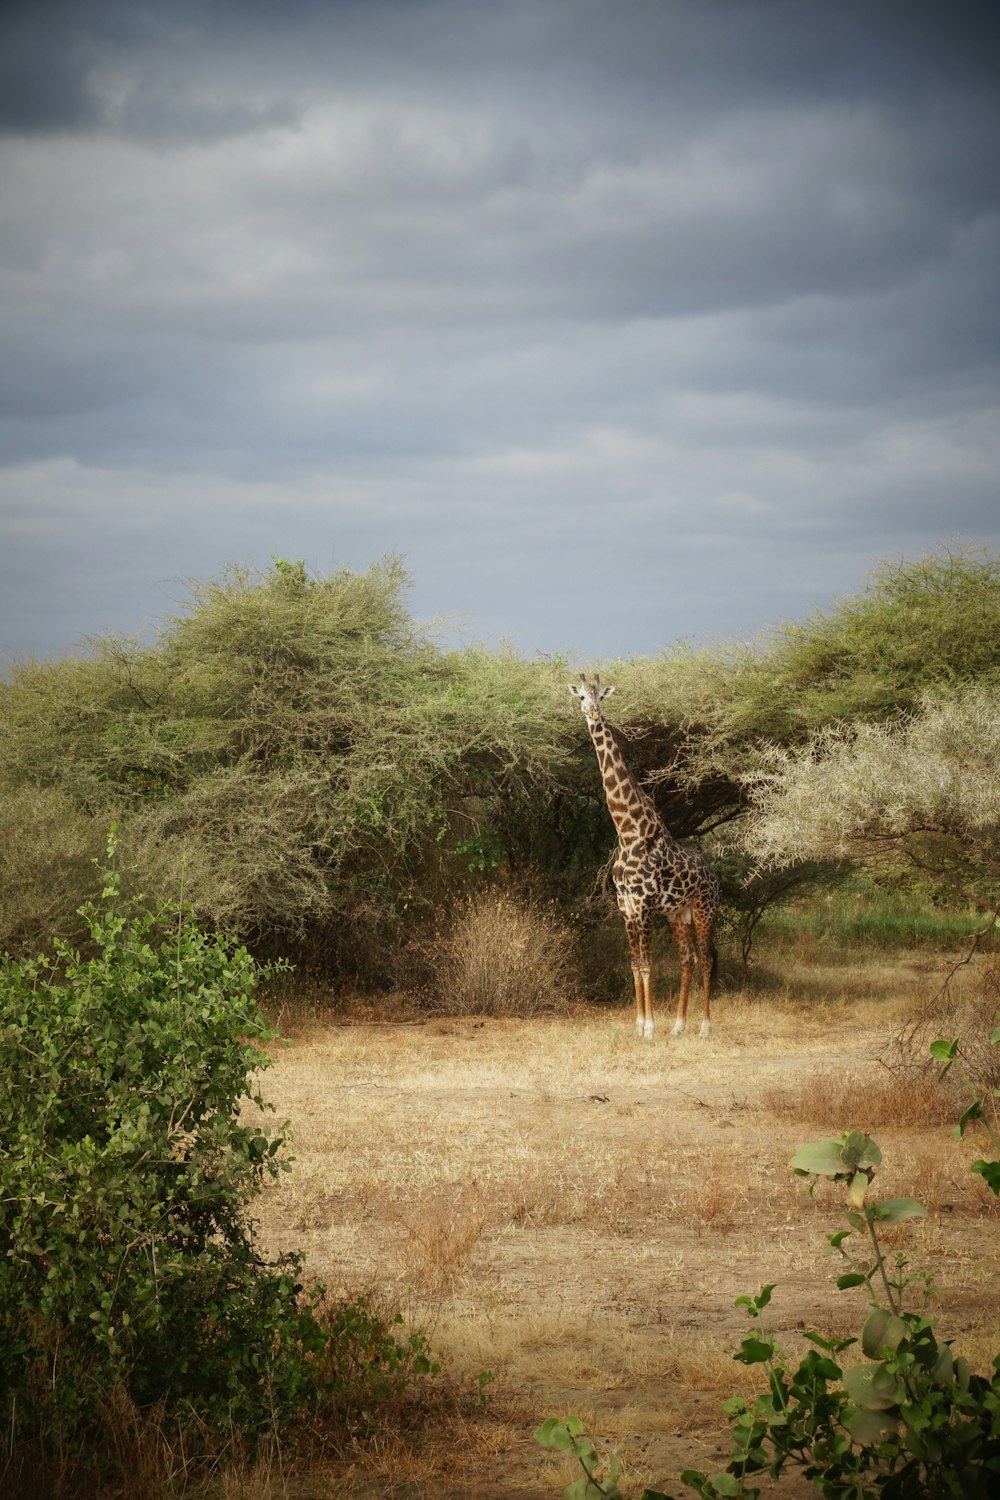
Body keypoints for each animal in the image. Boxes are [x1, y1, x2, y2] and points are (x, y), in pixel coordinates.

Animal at [569, 675, 719, 1038]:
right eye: (581, 696)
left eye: (601, 696)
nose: (594, 713)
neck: (627, 830)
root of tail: (714, 875)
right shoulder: (625, 905)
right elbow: (635, 964)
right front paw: (638, 1024)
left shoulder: (645, 904)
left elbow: (648, 965)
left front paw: (649, 1027)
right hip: (679, 914)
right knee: (688, 959)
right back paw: (678, 1025)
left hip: (704, 909)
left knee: (707, 959)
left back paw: (705, 1027)